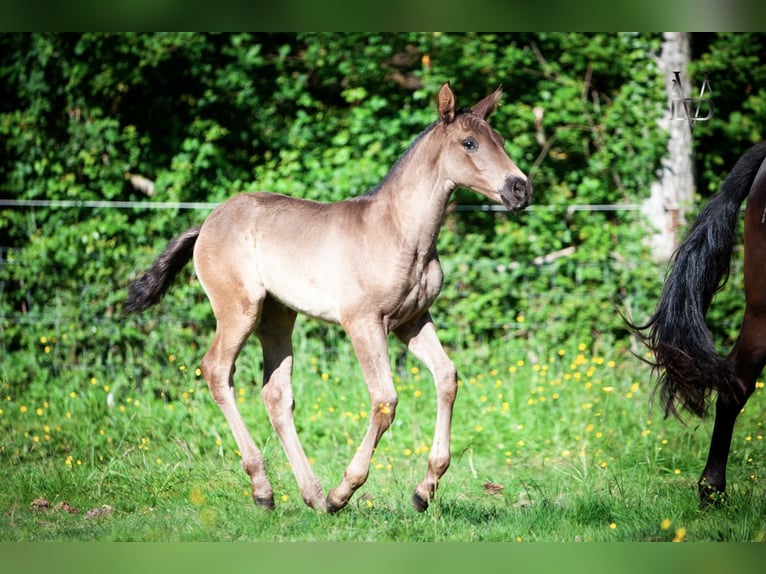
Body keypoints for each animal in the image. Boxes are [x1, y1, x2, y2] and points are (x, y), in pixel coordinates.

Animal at [126, 83, 536, 516]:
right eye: (469, 143)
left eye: (500, 140)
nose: (520, 188)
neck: (399, 232)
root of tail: (206, 223)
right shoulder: (363, 322)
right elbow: (385, 400)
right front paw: (346, 491)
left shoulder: (413, 320)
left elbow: (446, 378)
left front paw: (424, 491)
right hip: (239, 311)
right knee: (216, 371)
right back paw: (266, 489)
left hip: (277, 315)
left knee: (275, 394)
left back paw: (310, 495)